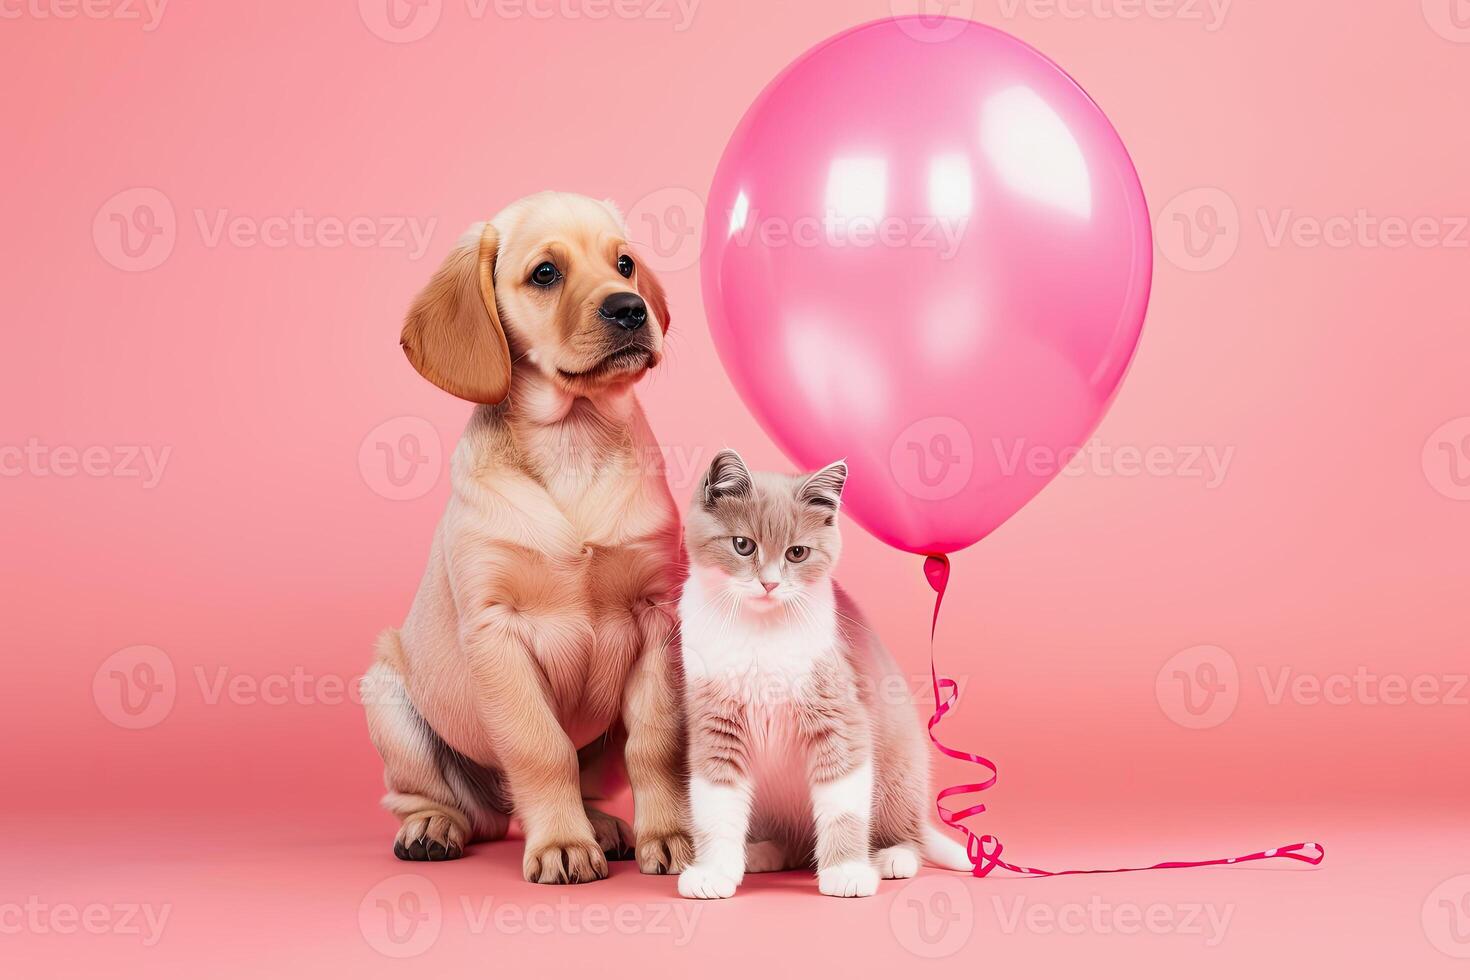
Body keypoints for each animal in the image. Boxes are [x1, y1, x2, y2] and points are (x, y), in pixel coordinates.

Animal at [364, 189, 690, 881]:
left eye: (624, 264)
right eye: (545, 273)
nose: (632, 309)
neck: (573, 438)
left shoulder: (658, 619)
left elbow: (657, 743)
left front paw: (673, 834)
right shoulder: (496, 631)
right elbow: (541, 748)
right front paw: (561, 843)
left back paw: (601, 825)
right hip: (388, 699)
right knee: (440, 800)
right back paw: (433, 825)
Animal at [673, 449, 970, 899]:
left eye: (797, 553)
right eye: (743, 545)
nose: (769, 584)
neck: (761, 631)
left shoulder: (840, 717)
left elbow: (842, 804)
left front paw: (846, 871)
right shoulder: (715, 724)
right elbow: (716, 804)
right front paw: (715, 872)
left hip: (898, 772)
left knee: (909, 832)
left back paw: (892, 857)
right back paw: (763, 851)